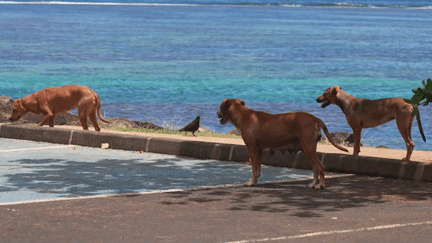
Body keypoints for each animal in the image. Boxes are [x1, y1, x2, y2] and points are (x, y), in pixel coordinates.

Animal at [216, 98, 348, 190]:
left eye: (220, 107)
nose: (216, 113)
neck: (242, 114)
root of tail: (314, 118)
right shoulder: (259, 150)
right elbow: (257, 169)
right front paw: (255, 181)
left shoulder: (252, 148)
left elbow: (254, 168)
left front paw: (250, 182)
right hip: (308, 149)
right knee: (316, 168)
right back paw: (312, 184)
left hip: (308, 148)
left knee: (321, 167)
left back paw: (320, 185)